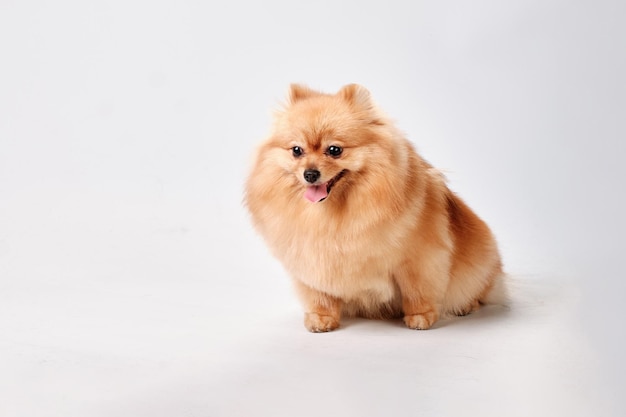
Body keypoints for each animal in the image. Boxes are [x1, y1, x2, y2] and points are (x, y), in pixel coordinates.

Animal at [244, 83, 502, 332]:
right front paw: (321, 318)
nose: (310, 174)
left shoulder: (419, 258)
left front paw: (420, 317)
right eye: (297, 151)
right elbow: (320, 294)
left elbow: (417, 289)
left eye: (335, 150)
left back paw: (467, 305)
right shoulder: (313, 261)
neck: (332, 215)